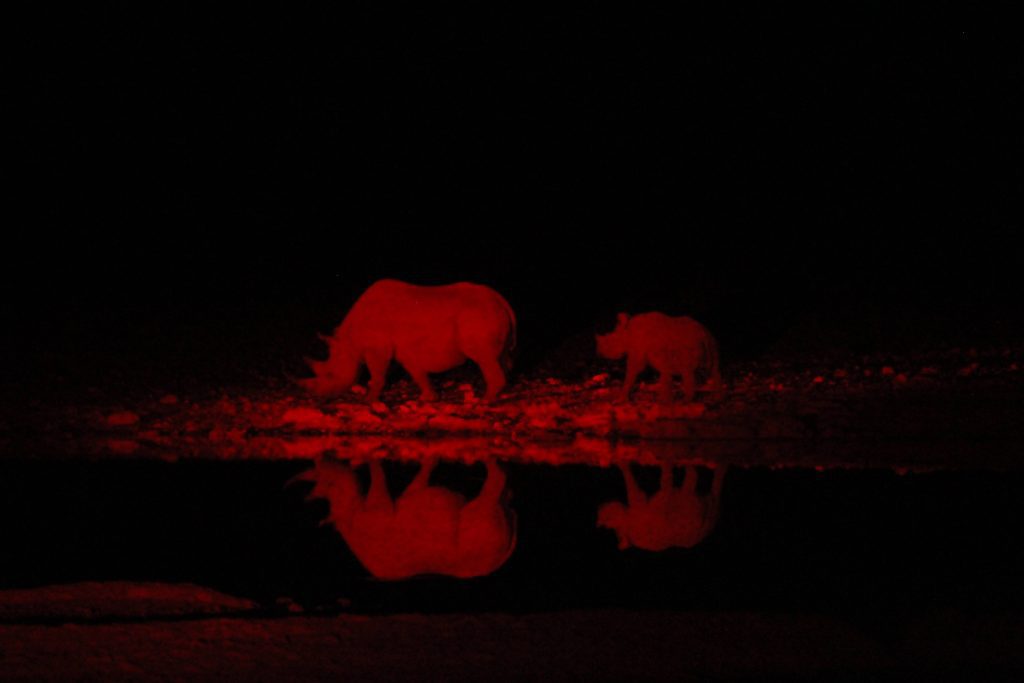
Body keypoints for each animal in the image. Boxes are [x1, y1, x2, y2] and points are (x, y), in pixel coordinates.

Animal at [299, 280, 516, 403]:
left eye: (330, 375)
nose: (317, 396)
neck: (348, 343)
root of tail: (501, 299)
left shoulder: (377, 349)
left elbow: (377, 375)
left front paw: (369, 400)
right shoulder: (404, 350)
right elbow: (416, 372)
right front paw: (429, 397)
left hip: (477, 316)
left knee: (483, 357)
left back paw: (485, 401)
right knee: (501, 357)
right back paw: (501, 394)